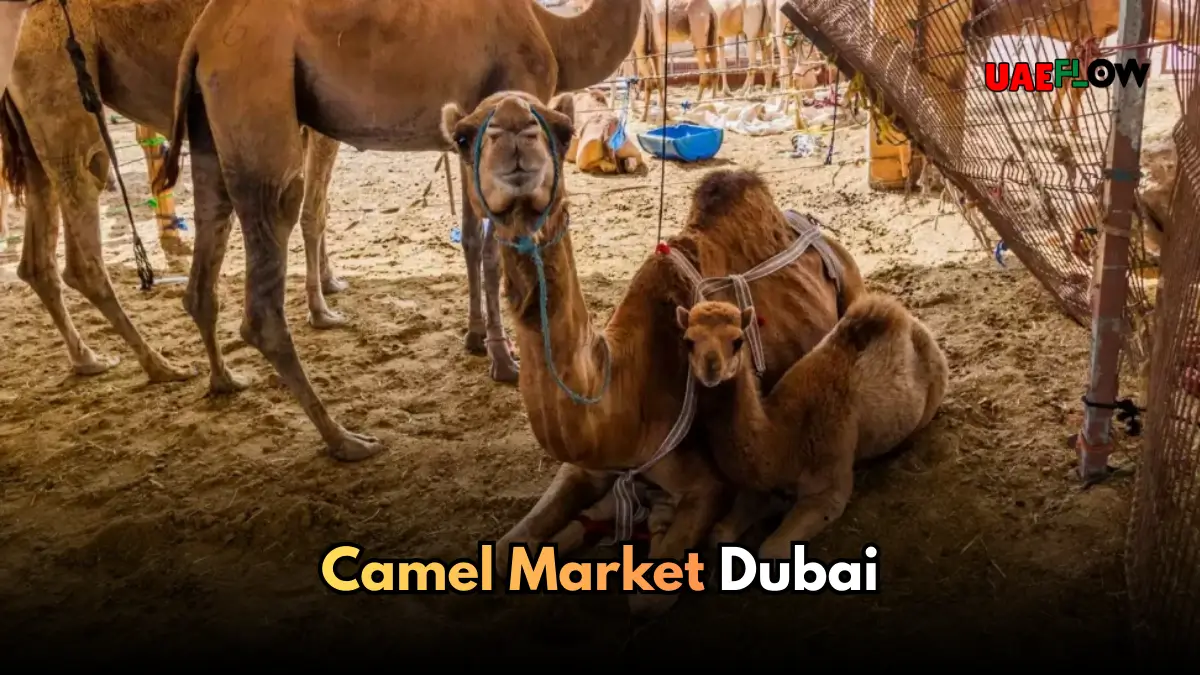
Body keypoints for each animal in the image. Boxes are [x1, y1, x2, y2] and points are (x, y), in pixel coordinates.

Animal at [0, 0, 350, 384]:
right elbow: (313, 213)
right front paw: (321, 310)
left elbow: (319, 208)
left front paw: (330, 282)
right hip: (61, 87)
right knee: (84, 228)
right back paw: (164, 366)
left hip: (30, 132)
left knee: (37, 258)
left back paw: (89, 359)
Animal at [154, 0, 644, 461]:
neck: (552, 29)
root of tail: (200, 39)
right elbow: (490, 249)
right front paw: (504, 360)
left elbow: (470, 240)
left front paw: (475, 340)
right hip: (257, 89)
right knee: (270, 258)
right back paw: (345, 439)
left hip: (208, 126)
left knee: (208, 237)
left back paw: (225, 380)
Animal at [441, 89, 866, 614]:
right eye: (462, 138)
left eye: (562, 130)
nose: (516, 130)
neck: (624, 390)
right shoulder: (586, 465)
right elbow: (504, 549)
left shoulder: (704, 484)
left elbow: (646, 599)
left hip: (850, 277)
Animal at [677, 294, 948, 559]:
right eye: (688, 341)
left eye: (737, 341)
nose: (711, 369)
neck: (784, 439)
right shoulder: (760, 485)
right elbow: (718, 534)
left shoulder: (829, 484)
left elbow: (770, 549)